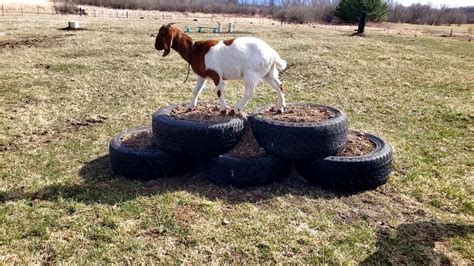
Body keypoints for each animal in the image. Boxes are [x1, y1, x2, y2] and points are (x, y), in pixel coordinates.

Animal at [156, 22, 286, 114]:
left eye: (161, 33)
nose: (156, 46)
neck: (194, 50)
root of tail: (272, 54)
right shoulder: (202, 76)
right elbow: (196, 90)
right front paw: (190, 107)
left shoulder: (216, 74)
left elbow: (219, 91)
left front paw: (223, 109)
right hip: (268, 73)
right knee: (279, 85)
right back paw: (280, 108)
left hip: (251, 72)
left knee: (250, 92)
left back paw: (236, 109)